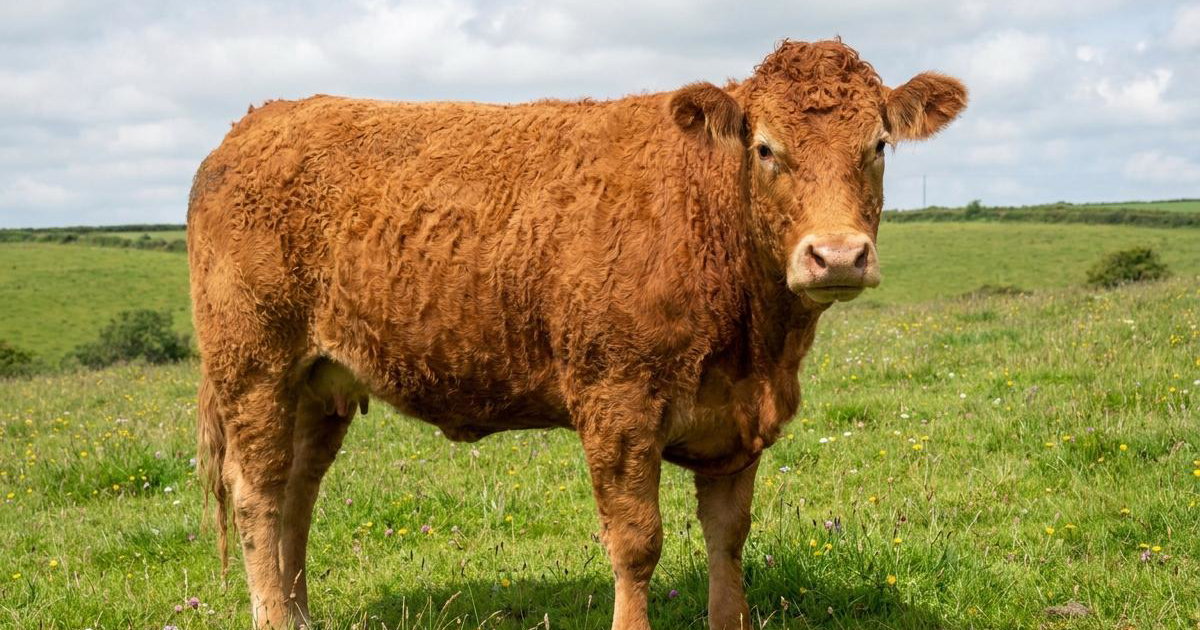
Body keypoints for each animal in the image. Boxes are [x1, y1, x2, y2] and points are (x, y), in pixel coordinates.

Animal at [188, 39, 966, 630]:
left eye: (879, 145)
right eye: (766, 149)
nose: (836, 255)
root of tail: (255, 124)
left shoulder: (737, 421)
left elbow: (728, 540)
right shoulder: (616, 403)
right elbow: (636, 542)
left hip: (319, 385)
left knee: (297, 495)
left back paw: (300, 617)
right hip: (253, 365)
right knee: (258, 495)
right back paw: (273, 617)